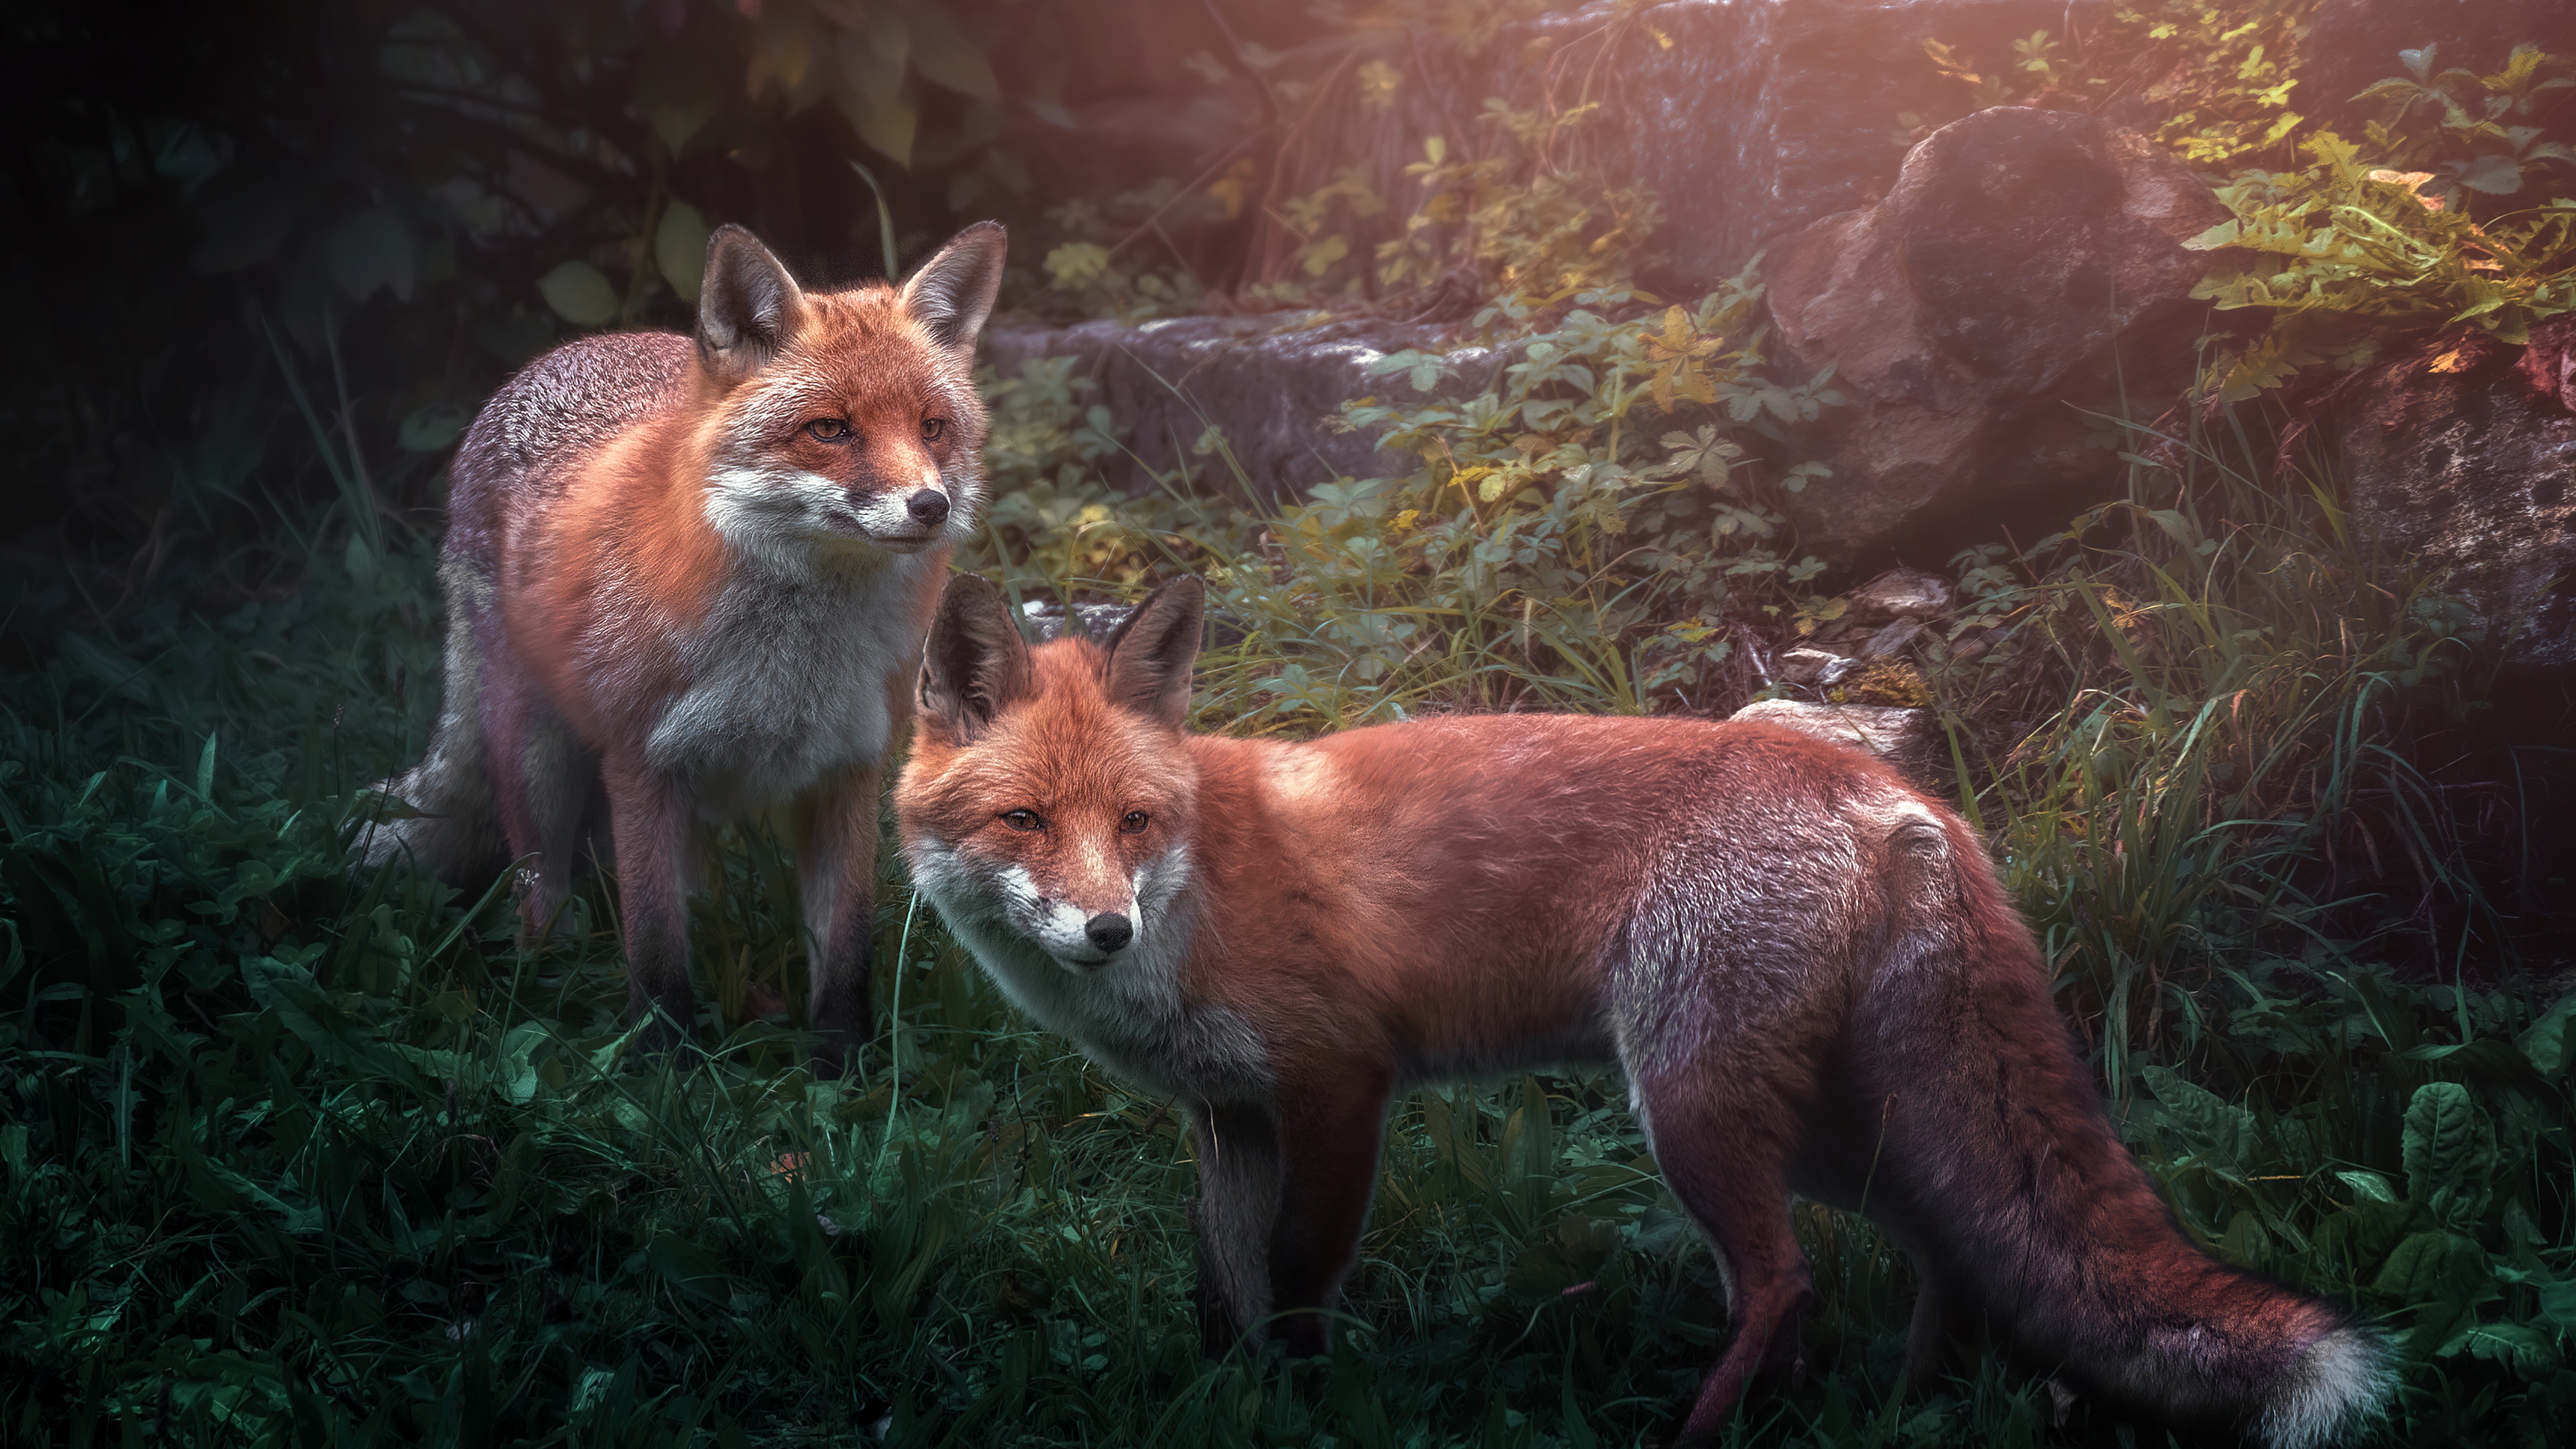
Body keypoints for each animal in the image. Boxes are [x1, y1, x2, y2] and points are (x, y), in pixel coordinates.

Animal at [363, 220, 1007, 1072]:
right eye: (830, 429)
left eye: (932, 427)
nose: (929, 505)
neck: (791, 669)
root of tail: (558, 356)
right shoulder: (642, 766)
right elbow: (657, 948)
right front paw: (661, 1066)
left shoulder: (849, 769)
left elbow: (844, 953)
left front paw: (840, 1066)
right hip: (539, 765)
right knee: (543, 898)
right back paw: (545, 991)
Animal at [893, 573, 2392, 1448]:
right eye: (1027, 822)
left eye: (1134, 824)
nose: (1106, 929)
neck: (1200, 886)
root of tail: (1890, 788)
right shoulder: (1230, 1119)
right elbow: (1226, 1299)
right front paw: (1237, 1406)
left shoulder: (1335, 1086)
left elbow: (1303, 1284)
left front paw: (1304, 1410)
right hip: (1825, 1119)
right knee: (1942, 1247)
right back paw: (1908, 1408)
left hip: (1690, 1103)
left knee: (1785, 1279)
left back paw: (1703, 1434)